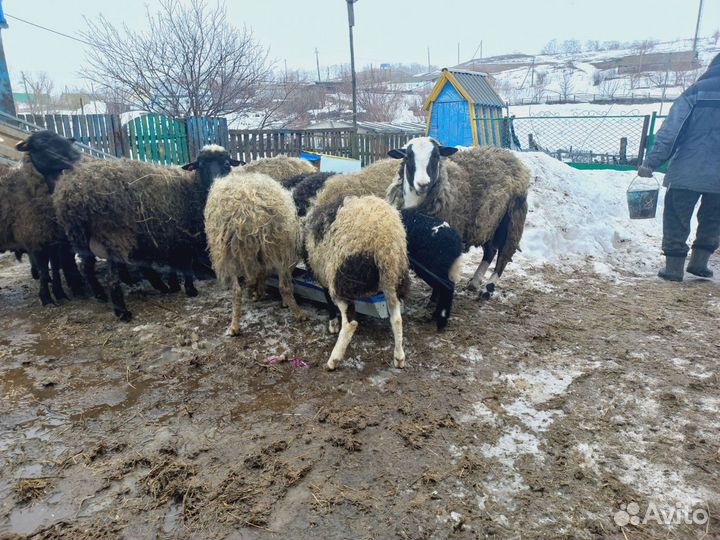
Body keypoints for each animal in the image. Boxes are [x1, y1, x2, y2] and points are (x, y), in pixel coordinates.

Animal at [2, 132, 85, 305]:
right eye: (42, 144)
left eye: (65, 140)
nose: (77, 157)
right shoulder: (35, 239)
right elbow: (44, 270)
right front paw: (46, 298)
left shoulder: (53, 240)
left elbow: (54, 268)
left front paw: (60, 294)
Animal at [51, 145, 242, 321]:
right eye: (201, 165)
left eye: (227, 164)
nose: (215, 184)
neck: (191, 187)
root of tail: (74, 193)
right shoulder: (184, 235)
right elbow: (185, 264)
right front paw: (190, 289)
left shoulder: (170, 235)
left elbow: (174, 264)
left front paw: (173, 286)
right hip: (112, 235)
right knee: (112, 277)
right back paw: (122, 312)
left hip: (79, 236)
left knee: (86, 266)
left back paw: (100, 295)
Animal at [204, 171, 307, 335]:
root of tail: (245, 210)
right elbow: (262, 276)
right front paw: (258, 293)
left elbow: (258, 276)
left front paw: (257, 292)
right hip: (277, 249)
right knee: (283, 286)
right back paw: (298, 313)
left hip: (229, 253)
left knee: (237, 290)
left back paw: (234, 326)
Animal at [305, 193, 409, 370]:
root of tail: (384, 239)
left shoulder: (324, 273)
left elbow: (327, 298)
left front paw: (332, 323)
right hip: (393, 277)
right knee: (396, 318)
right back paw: (399, 357)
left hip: (342, 278)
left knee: (350, 323)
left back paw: (333, 360)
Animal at [387, 137, 529, 300]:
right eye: (408, 157)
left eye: (436, 156)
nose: (423, 184)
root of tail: (507, 154)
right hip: (488, 222)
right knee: (491, 251)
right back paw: (475, 281)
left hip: (512, 219)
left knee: (504, 255)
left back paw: (488, 289)